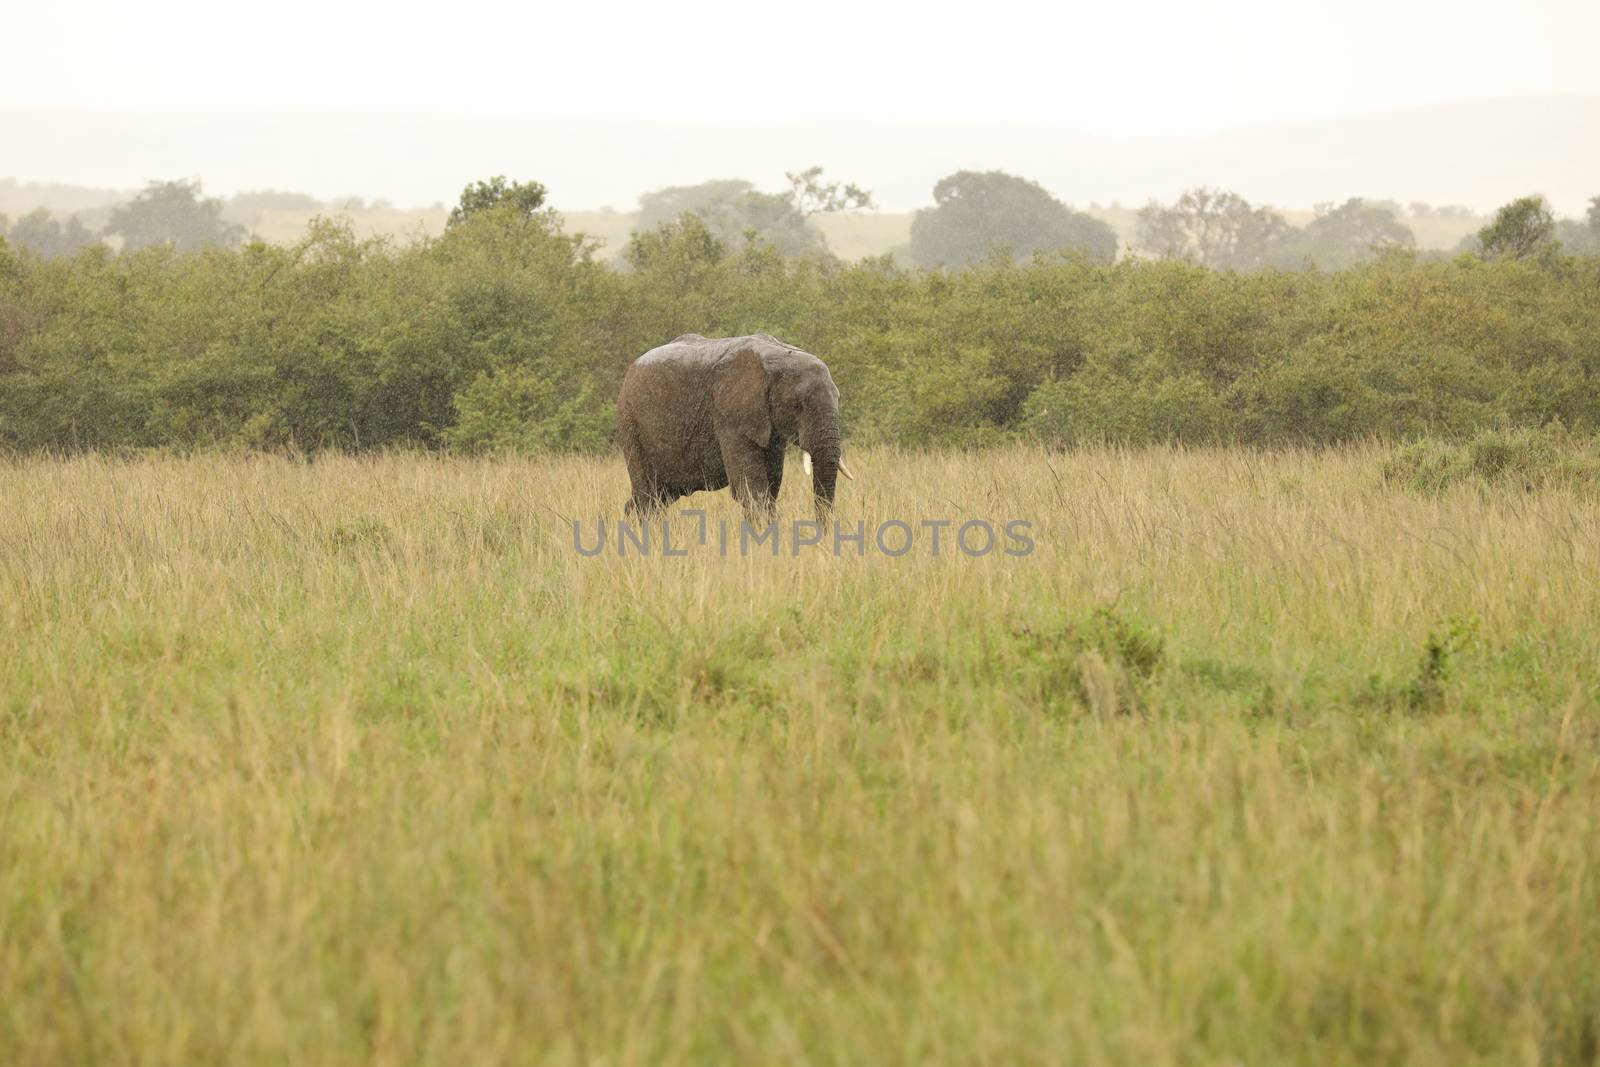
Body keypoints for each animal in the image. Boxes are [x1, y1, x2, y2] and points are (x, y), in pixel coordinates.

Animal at [617, 331, 857, 518]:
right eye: (797, 405)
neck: (778, 356)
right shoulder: (730, 413)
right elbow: (752, 489)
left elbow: (772, 485)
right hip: (631, 424)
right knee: (648, 496)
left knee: (655, 497)